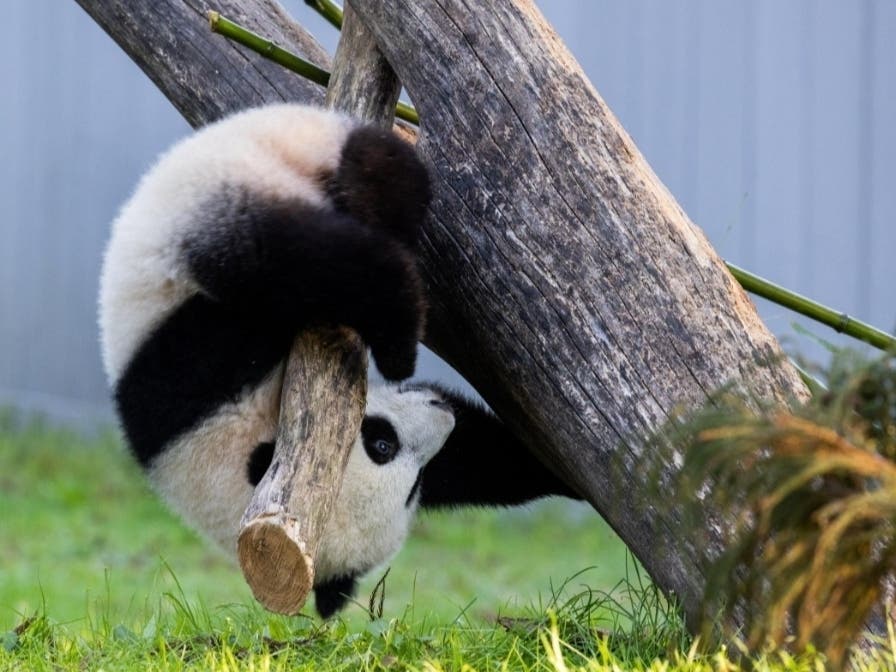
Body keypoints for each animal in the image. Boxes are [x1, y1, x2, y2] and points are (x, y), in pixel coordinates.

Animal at [98, 104, 577, 618]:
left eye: (376, 438)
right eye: (384, 448)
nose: (440, 412)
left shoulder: (200, 365)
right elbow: (479, 459)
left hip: (232, 189)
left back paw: (398, 335)